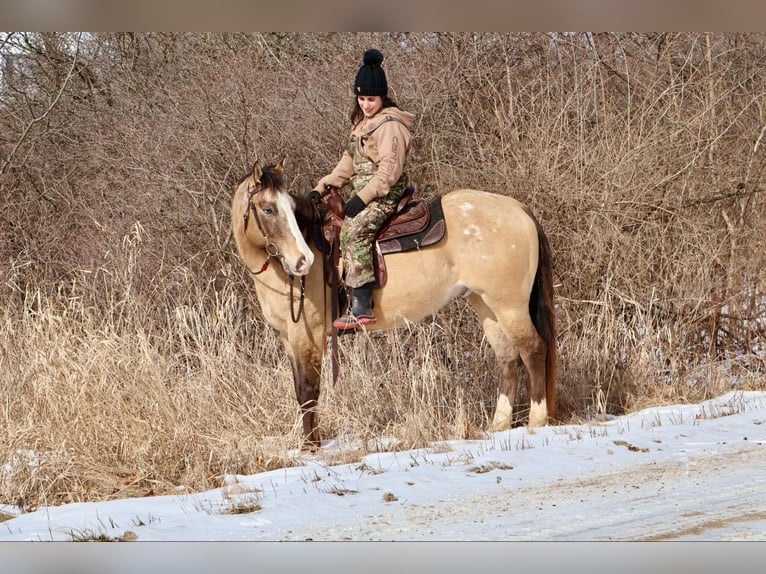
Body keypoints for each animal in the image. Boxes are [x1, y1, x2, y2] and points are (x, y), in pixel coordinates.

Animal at [231, 158, 556, 449]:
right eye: (268, 208)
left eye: (288, 209)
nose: (303, 261)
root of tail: (517, 209)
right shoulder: (288, 338)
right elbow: (301, 390)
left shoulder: (305, 335)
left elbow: (307, 389)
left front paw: (311, 448)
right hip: (485, 305)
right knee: (508, 358)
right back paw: (498, 426)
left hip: (510, 306)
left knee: (533, 350)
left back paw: (536, 421)